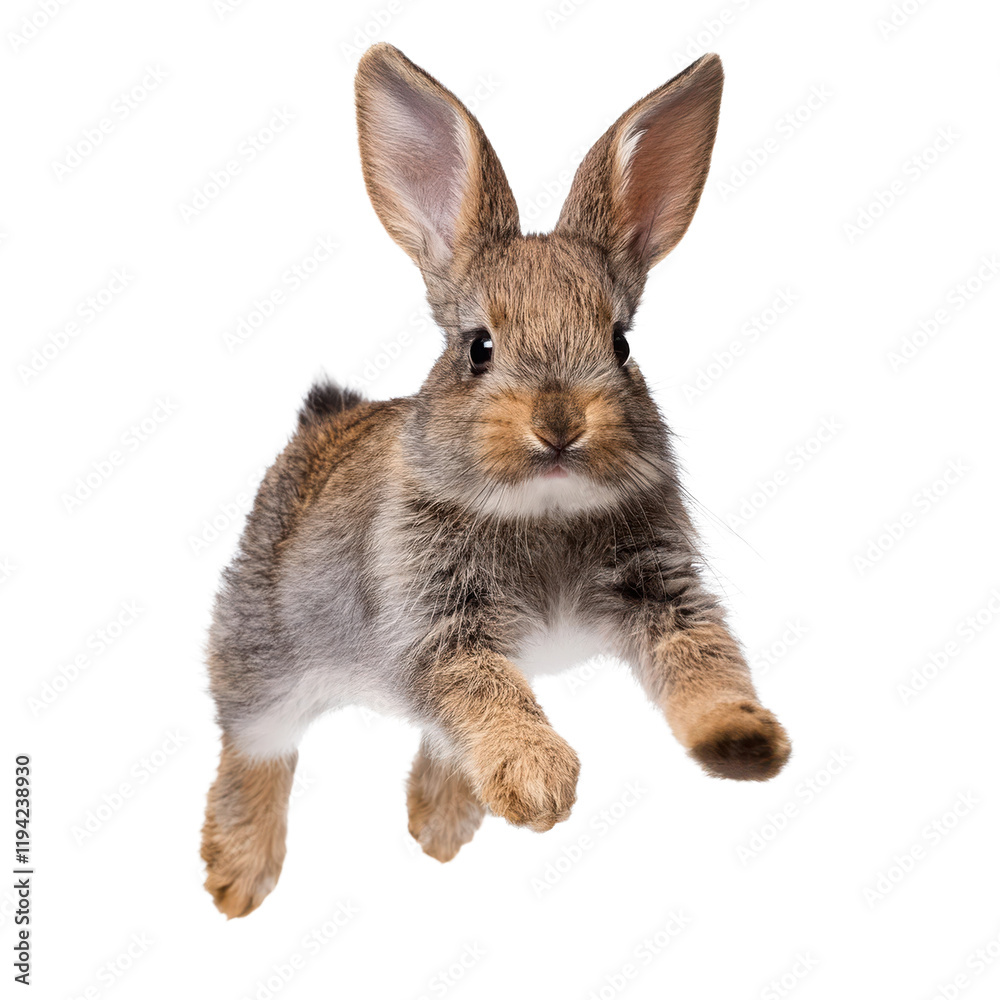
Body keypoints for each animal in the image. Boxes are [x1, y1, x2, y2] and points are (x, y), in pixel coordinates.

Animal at [201, 42, 791, 918]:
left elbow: (703, 662)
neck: (541, 509)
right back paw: (238, 876)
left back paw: (442, 824)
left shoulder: (662, 595)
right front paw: (540, 782)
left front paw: (744, 740)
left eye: (621, 344)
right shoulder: (434, 622)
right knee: (254, 746)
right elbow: (484, 691)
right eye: (478, 347)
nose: (559, 422)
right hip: (264, 649)